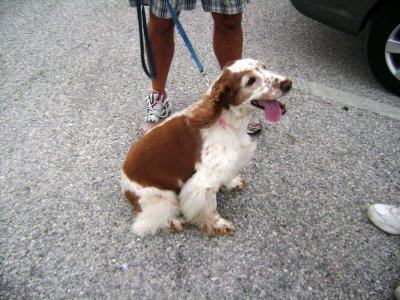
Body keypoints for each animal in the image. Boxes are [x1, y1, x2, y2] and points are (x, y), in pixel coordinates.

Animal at [120, 59, 292, 237]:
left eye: (264, 67)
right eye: (250, 80)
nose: (288, 83)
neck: (227, 121)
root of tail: (124, 186)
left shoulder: (229, 164)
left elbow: (228, 176)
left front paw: (233, 183)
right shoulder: (203, 182)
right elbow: (209, 208)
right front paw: (218, 226)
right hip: (161, 197)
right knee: (154, 215)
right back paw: (174, 222)